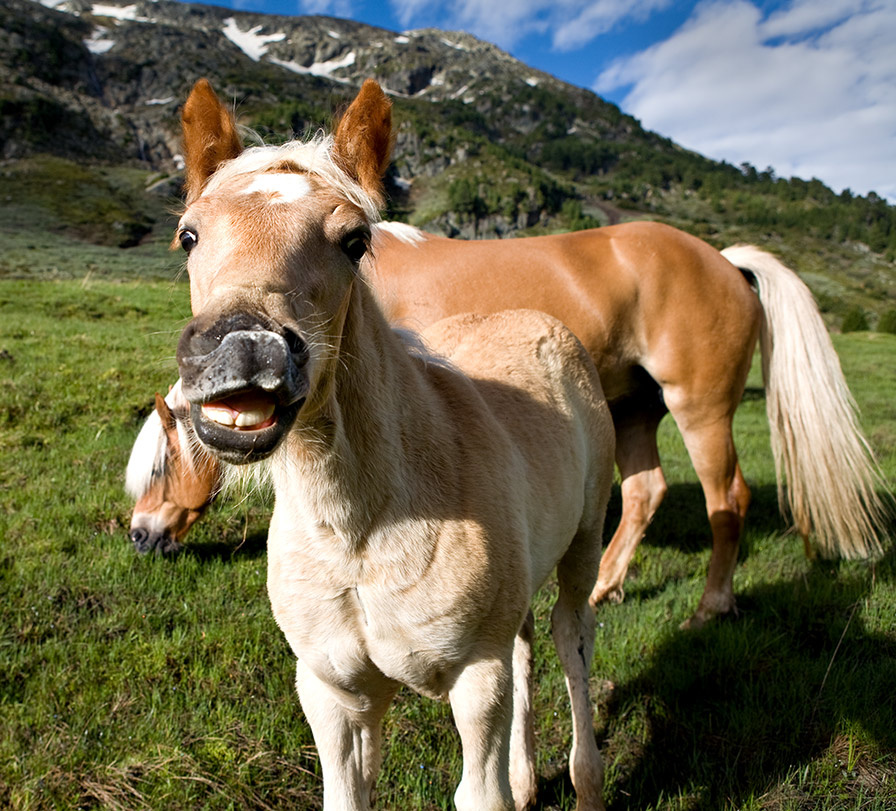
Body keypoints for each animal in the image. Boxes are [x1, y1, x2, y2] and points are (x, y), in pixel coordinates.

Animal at [171, 77, 616, 810]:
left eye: (354, 240)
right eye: (188, 234)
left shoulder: (476, 677)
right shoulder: (331, 694)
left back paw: (584, 780)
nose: (244, 350)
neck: (361, 531)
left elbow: (479, 793)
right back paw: (527, 776)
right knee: (527, 640)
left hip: (584, 540)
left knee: (569, 636)